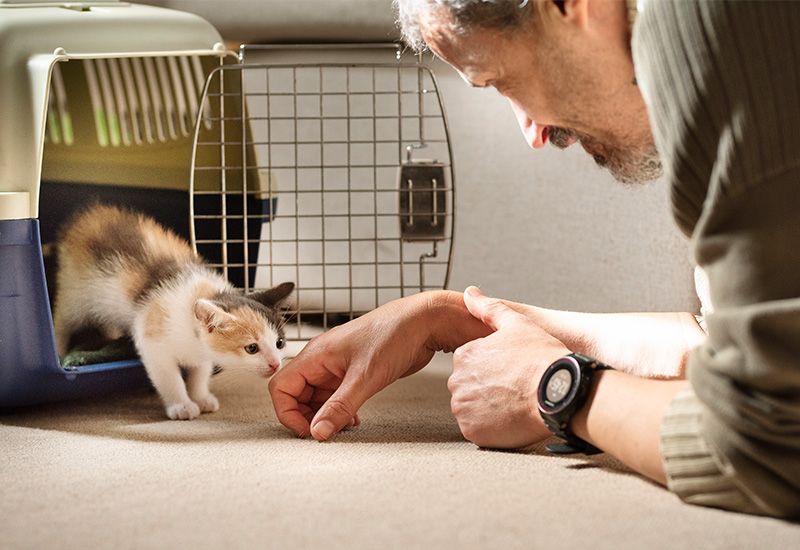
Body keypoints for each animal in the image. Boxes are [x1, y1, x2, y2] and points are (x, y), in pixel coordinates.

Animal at [54, 205, 296, 420]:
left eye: (280, 343)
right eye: (251, 348)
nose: (275, 364)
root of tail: (88, 215)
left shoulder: (201, 352)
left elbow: (199, 372)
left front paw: (201, 396)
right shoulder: (152, 338)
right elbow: (169, 377)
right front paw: (181, 405)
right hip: (75, 290)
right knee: (63, 320)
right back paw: (58, 350)